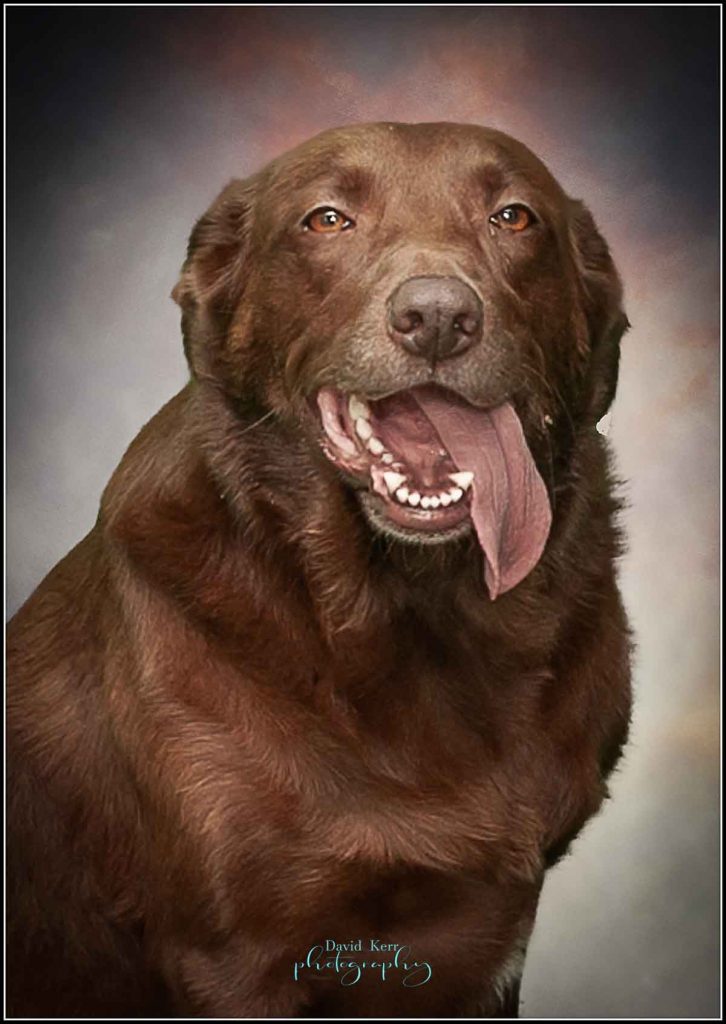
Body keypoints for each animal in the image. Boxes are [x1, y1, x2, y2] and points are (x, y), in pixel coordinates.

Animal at [7, 122, 632, 1018]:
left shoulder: (492, 942)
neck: (418, 615)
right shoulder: (234, 960)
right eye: (327, 219)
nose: (437, 317)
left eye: (514, 216)